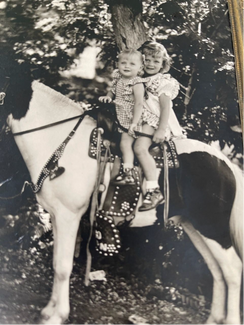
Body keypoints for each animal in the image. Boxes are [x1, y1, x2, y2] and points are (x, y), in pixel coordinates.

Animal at [3, 79, 244, 324]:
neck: (63, 142)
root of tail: (226, 163)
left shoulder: (68, 216)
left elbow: (62, 267)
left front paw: (57, 316)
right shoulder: (56, 216)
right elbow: (55, 262)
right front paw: (49, 311)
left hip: (213, 228)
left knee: (232, 270)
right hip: (194, 227)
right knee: (216, 269)